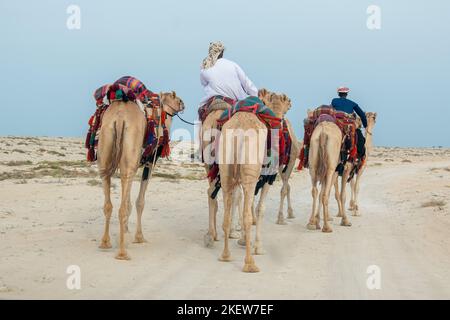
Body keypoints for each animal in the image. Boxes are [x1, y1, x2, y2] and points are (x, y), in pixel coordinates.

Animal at [96, 92, 185, 260]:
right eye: (177, 99)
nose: (183, 104)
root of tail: (119, 117)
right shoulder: (150, 161)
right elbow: (140, 201)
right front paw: (139, 237)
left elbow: (128, 199)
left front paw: (126, 230)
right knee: (122, 206)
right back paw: (122, 253)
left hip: (106, 143)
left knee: (108, 197)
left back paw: (105, 243)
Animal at [218, 90, 288, 272]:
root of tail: (238, 128)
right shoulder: (268, 178)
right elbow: (260, 208)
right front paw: (258, 247)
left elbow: (240, 201)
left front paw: (242, 240)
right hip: (251, 165)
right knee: (247, 215)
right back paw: (250, 263)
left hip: (226, 166)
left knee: (227, 211)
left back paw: (225, 256)